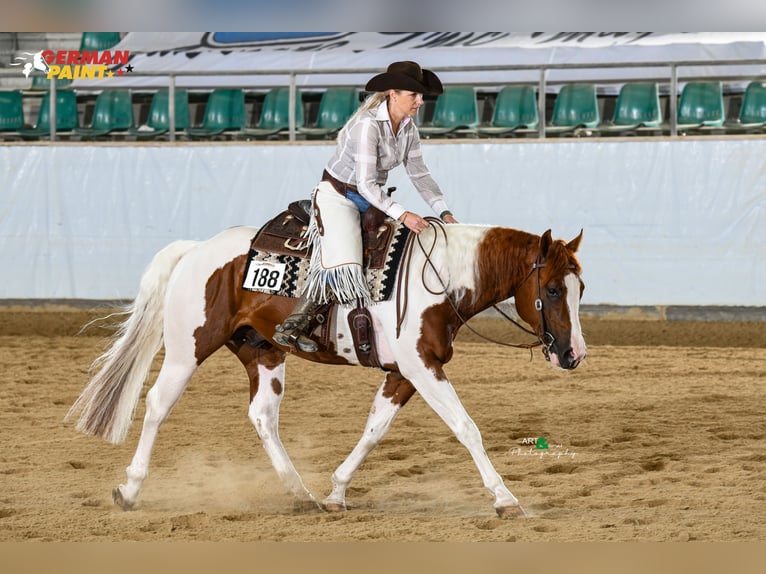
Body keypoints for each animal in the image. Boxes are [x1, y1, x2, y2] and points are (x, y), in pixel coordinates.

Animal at [66, 218, 586, 519]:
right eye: (552, 289)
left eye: (580, 287)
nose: (573, 354)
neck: (440, 277)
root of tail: (196, 249)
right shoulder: (422, 367)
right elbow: (466, 428)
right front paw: (505, 499)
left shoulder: (406, 372)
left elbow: (374, 429)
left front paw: (336, 492)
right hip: (186, 349)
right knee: (157, 404)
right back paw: (130, 489)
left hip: (263, 351)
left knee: (262, 416)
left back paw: (301, 494)